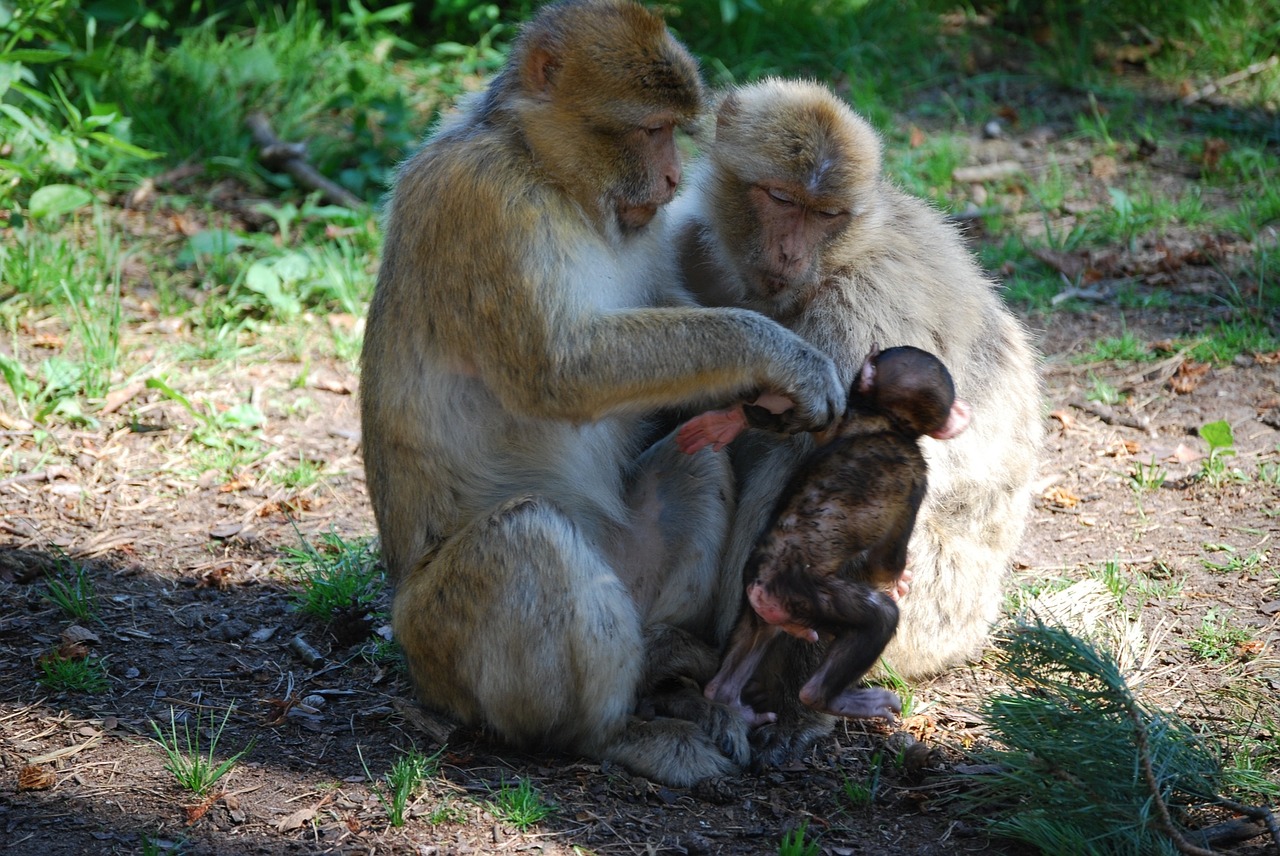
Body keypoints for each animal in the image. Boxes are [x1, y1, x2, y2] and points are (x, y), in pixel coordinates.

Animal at [686, 342, 972, 726]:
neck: (885, 421)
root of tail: (762, 588)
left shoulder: (843, 421)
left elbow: (812, 421)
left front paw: (730, 420)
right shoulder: (916, 477)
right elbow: (886, 558)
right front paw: (899, 577)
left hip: (759, 606)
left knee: (749, 643)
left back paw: (728, 697)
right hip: (804, 595)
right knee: (879, 617)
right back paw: (833, 699)